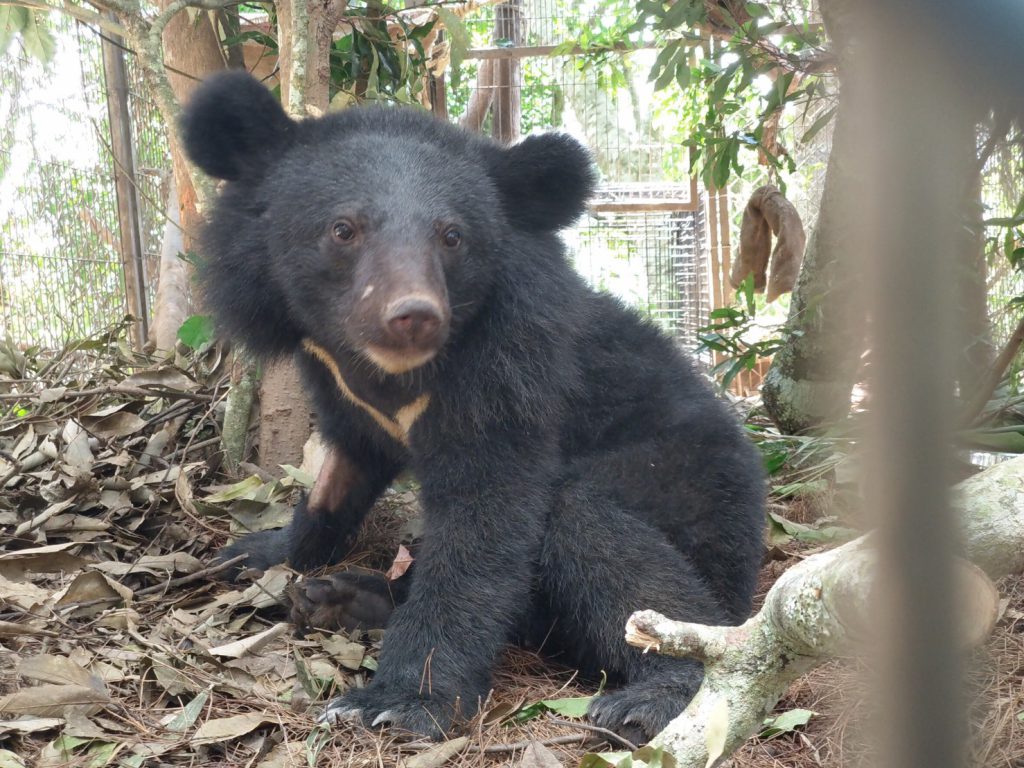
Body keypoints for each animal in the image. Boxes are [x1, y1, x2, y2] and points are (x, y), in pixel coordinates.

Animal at [180, 72, 765, 745]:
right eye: (343, 229)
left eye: (452, 236)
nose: (412, 315)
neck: (389, 371)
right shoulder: (337, 383)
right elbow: (341, 472)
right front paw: (254, 551)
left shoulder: (509, 373)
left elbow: (483, 523)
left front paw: (398, 701)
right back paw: (340, 597)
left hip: (689, 490)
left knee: (600, 536)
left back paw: (648, 699)